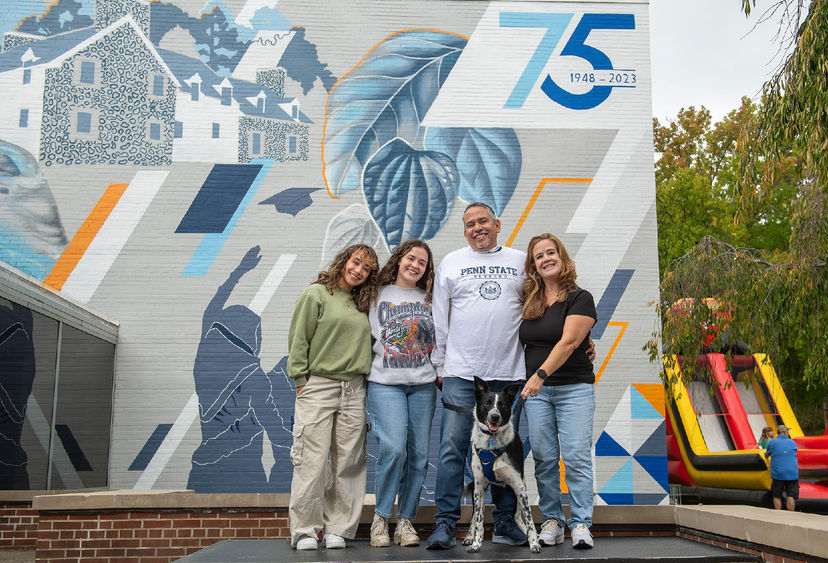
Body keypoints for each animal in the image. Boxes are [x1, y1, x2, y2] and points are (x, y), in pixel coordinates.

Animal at [462, 376, 540, 552]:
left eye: (502, 404)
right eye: (487, 403)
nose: (494, 417)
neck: (492, 439)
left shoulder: (519, 486)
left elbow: (530, 518)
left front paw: (534, 543)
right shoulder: (478, 488)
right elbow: (479, 520)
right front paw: (476, 543)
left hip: (520, 489)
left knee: (518, 515)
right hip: (478, 492)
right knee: (474, 516)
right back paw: (469, 536)